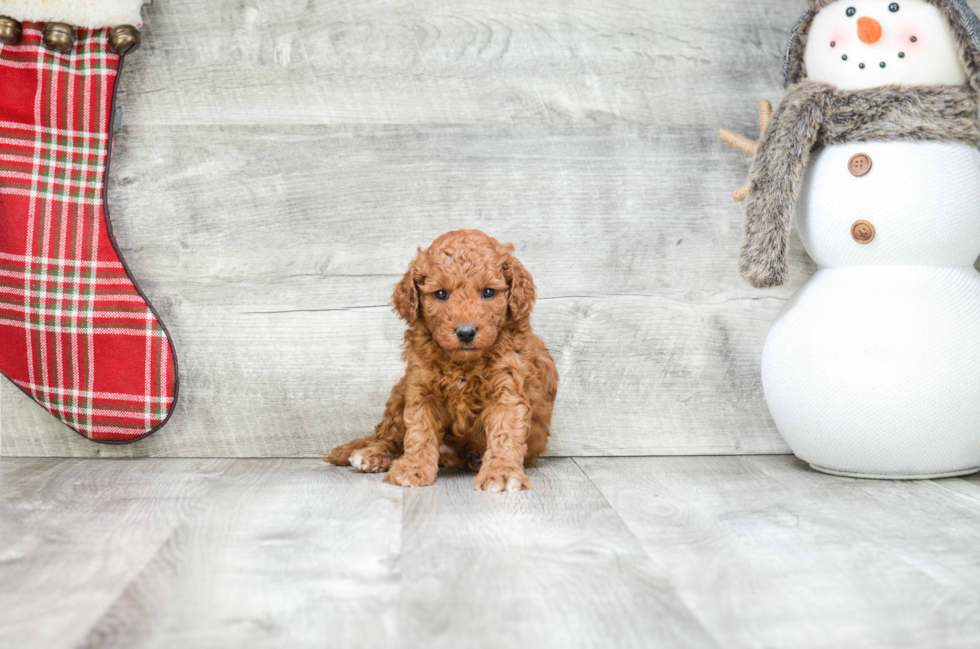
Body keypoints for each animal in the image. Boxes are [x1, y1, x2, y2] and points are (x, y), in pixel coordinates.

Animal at [326, 230, 560, 488]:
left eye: (488, 292)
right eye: (440, 294)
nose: (466, 332)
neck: (463, 365)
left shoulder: (507, 390)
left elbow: (504, 434)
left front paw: (501, 473)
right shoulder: (421, 388)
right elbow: (419, 433)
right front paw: (412, 469)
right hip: (400, 394)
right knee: (389, 436)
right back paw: (372, 455)